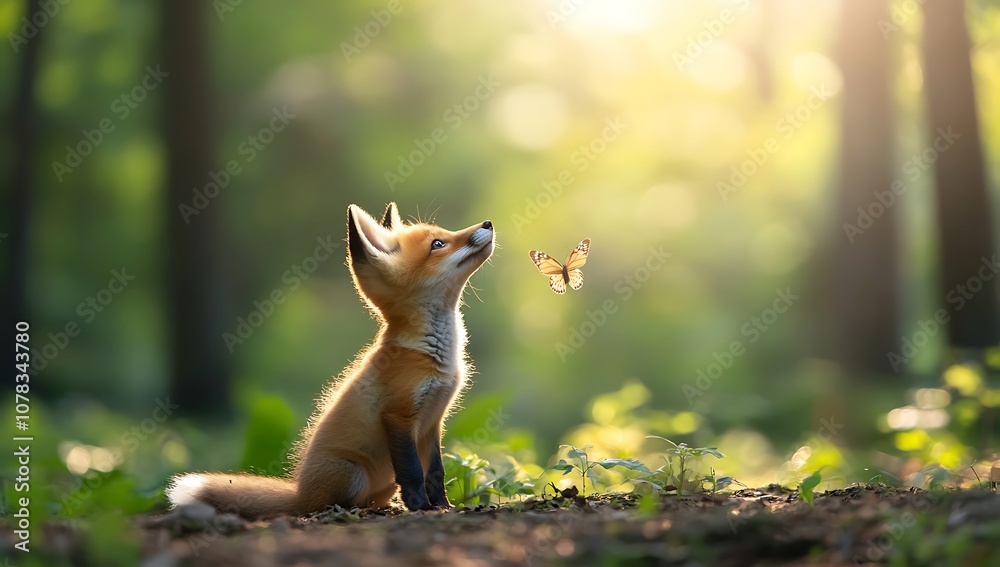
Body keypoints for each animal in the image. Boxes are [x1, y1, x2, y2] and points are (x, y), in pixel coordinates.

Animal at [166, 203, 495, 517]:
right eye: (438, 243)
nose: (488, 223)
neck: (435, 354)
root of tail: (299, 491)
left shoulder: (432, 422)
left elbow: (435, 472)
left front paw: (443, 505)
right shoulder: (398, 416)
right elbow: (413, 472)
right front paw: (421, 507)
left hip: (383, 481)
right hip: (353, 474)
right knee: (326, 505)